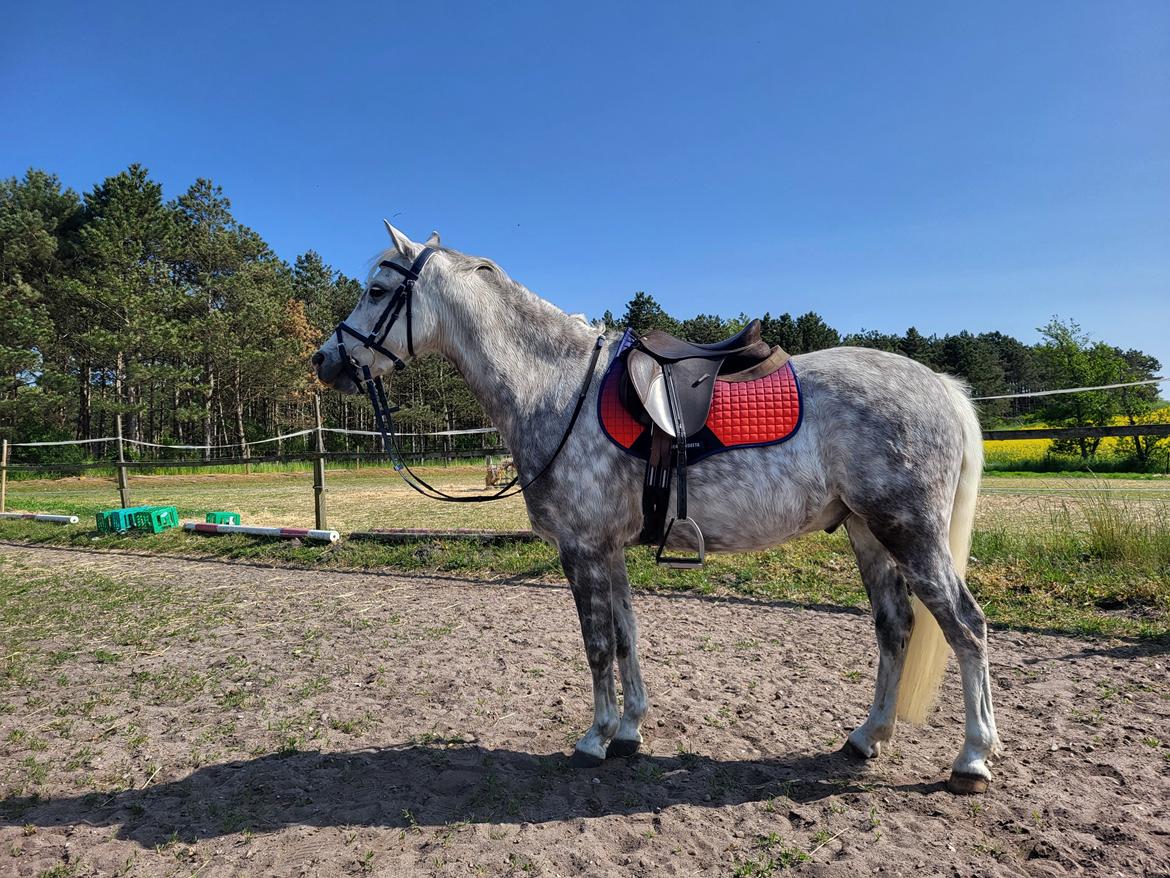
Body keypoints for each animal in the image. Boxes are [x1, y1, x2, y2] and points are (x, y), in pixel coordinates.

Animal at [312, 222, 1003, 795]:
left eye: (377, 289)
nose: (325, 361)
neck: (557, 388)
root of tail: (942, 386)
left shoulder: (583, 550)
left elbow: (596, 644)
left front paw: (594, 738)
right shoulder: (609, 550)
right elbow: (625, 636)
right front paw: (629, 731)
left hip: (910, 533)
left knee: (965, 626)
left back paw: (971, 759)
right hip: (868, 534)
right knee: (896, 627)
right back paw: (866, 738)